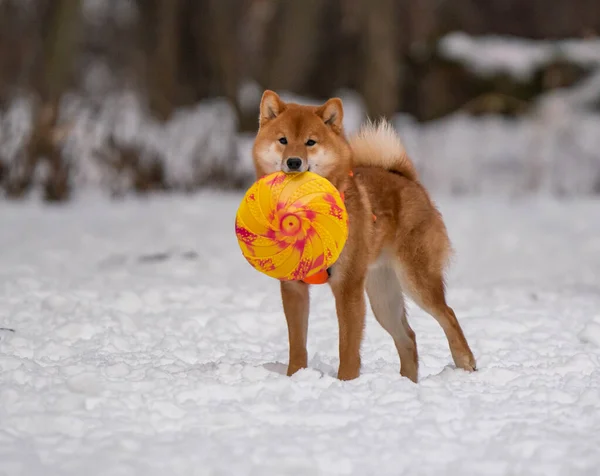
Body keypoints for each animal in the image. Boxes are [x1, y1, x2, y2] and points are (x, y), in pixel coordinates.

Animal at [251, 90, 476, 384]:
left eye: (311, 142)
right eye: (283, 140)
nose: (294, 161)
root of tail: (408, 180)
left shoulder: (347, 287)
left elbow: (347, 346)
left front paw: (345, 382)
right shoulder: (295, 288)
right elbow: (297, 344)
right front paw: (295, 377)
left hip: (415, 281)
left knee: (448, 315)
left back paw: (466, 364)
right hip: (383, 296)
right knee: (409, 337)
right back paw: (407, 383)